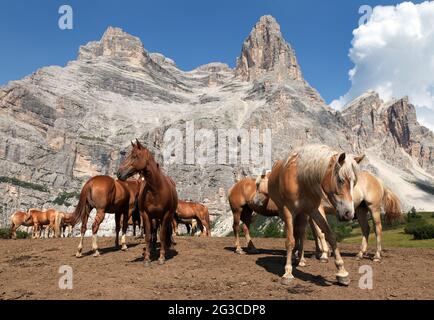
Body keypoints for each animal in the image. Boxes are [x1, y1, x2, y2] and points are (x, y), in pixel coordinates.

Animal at [256, 145, 364, 284]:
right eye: (340, 180)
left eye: (354, 182)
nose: (349, 214)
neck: (301, 181)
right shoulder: (288, 211)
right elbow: (290, 241)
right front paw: (287, 273)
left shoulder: (313, 210)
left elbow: (330, 235)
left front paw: (342, 272)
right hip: (285, 214)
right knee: (295, 234)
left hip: (303, 214)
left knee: (301, 234)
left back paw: (301, 259)